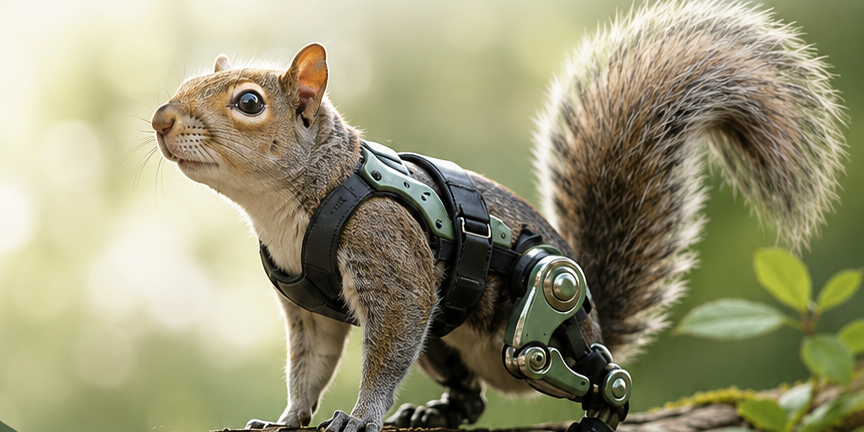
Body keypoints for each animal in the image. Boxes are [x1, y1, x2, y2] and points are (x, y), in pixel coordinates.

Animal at [151, 1, 844, 431]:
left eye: (249, 103)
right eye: (182, 86)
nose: (160, 119)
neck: (287, 209)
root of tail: (595, 315)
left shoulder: (390, 256)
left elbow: (384, 349)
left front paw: (364, 414)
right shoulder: (307, 312)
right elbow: (309, 367)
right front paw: (289, 418)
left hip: (542, 310)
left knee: (599, 377)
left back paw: (600, 408)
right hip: (443, 343)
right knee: (472, 397)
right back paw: (432, 412)